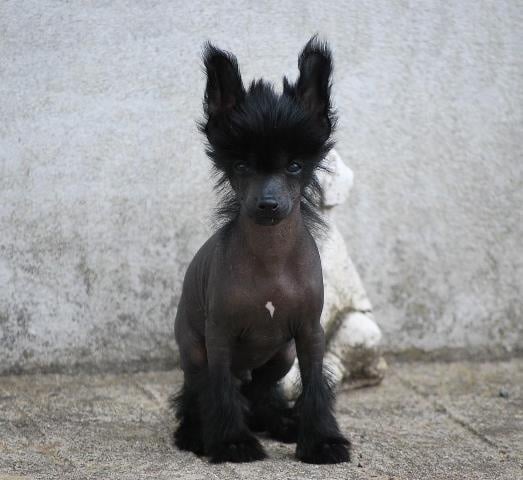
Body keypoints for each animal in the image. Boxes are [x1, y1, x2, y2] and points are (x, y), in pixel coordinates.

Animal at [173, 35, 352, 464]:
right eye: (241, 165)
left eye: (295, 166)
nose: (268, 204)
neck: (271, 258)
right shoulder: (219, 338)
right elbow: (219, 391)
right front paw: (232, 443)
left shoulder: (309, 334)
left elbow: (315, 386)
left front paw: (321, 440)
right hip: (195, 353)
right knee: (198, 393)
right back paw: (194, 433)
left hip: (281, 355)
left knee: (259, 392)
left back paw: (279, 422)